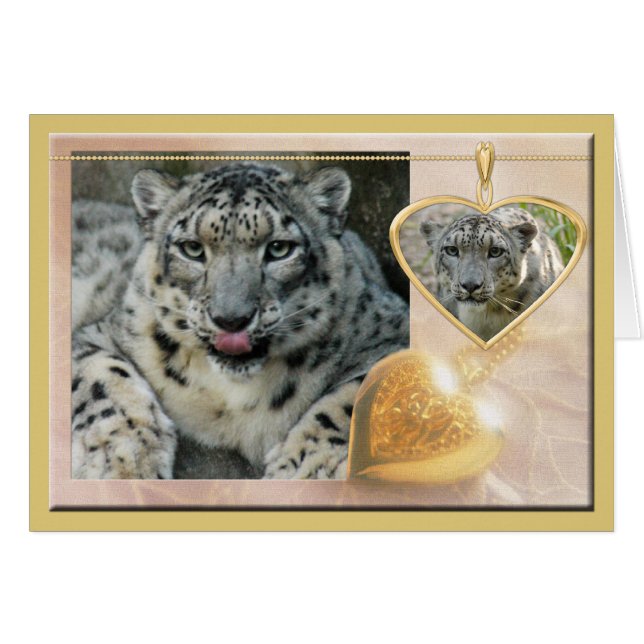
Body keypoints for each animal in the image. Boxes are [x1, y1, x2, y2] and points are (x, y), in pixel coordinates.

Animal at [71, 163, 409, 480]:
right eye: (192, 248)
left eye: (279, 248)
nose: (231, 319)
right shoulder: (99, 333)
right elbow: (103, 375)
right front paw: (125, 460)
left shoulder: (394, 332)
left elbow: (357, 396)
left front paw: (305, 468)